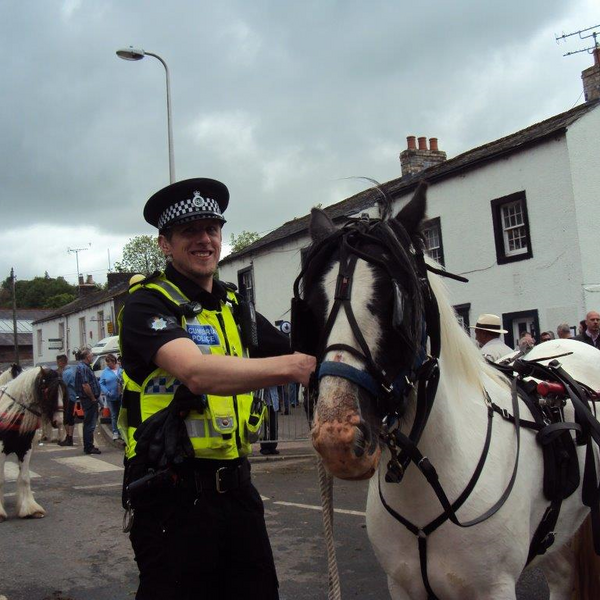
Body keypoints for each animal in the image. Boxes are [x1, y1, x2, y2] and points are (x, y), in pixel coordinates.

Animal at [0, 366, 65, 520]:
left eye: (62, 390)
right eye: (49, 390)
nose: (59, 421)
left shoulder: (25, 448)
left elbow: (24, 477)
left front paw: (29, 509)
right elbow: (1, 479)